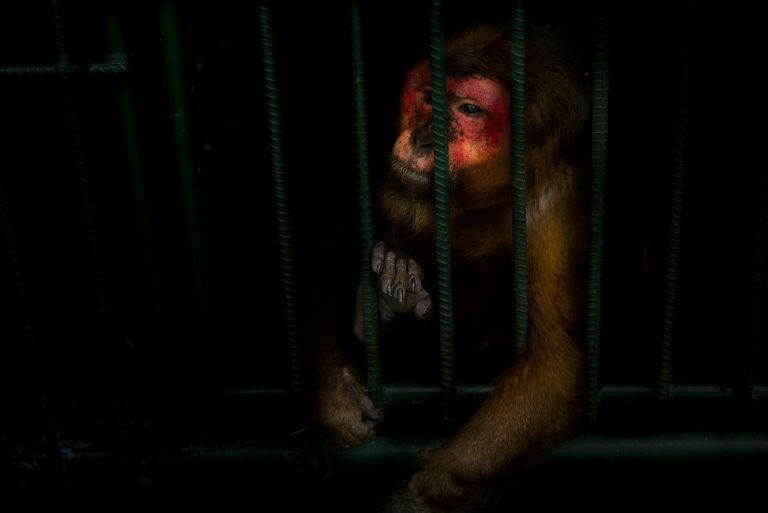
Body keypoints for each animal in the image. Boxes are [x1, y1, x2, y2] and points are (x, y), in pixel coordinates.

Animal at [308, 21, 592, 512]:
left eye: (469, 109)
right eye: (427, 97)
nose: (424, 139)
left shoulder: (558, 205)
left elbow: (556, 364)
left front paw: (433, 487)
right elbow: (325, 247)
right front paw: (334, 392)